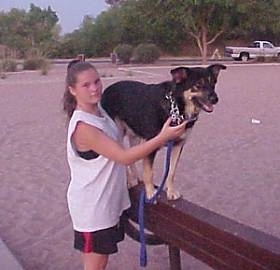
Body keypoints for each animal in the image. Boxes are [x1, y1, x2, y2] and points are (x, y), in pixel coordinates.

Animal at [101, 64, 226, 199]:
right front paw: (150, 193)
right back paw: (129, 181)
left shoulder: (178, 145)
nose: (215, 99)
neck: (176, 109)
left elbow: (171, 172)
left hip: (135, 137)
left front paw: (171, 192)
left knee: (129, 156)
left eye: (213, 84)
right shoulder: (150, 145)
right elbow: (149, 172)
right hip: (118, 135)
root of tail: (106, 90)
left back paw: (136, 178)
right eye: (198, 85)